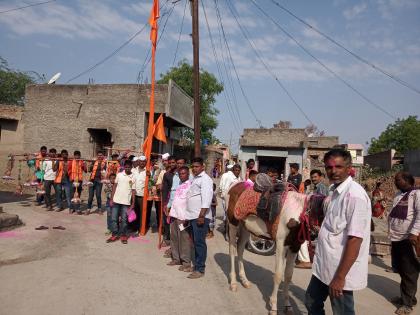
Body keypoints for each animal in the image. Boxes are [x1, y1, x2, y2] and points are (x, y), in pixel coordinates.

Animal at [228, 174, 326, 314]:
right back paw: (233, 283)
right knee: (232, 249)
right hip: (233, 223)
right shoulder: (281, 244)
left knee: (240, 248)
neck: (298, 215)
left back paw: (244, 280)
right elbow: (279, 275)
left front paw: (287, 305)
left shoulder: (294, 246)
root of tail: (235, 186)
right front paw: (273, 306)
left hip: (246, 226)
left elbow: (288, 275)